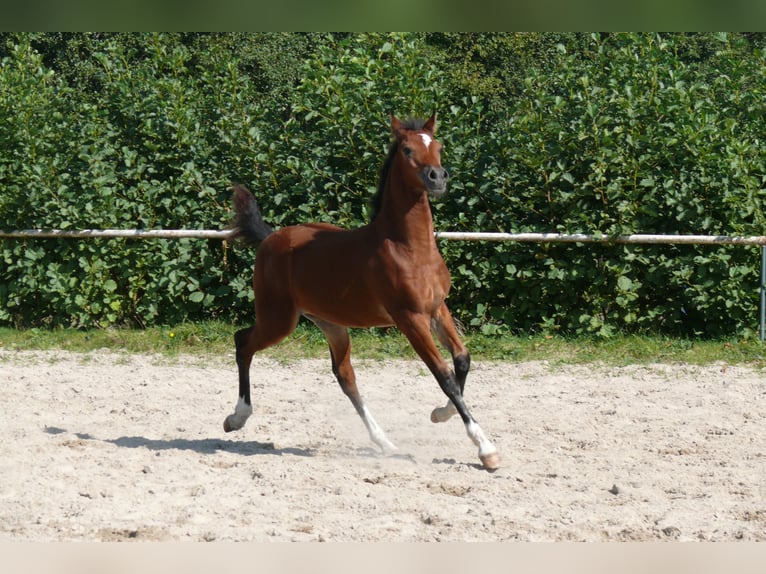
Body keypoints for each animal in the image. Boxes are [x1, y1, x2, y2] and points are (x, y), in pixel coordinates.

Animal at [225, 112, 500, 472]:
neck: (410, 248)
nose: (437, 178)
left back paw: (384, 442)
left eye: (438, 146)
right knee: (243, 342)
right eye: (408, 150)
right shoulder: (409, 318)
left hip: (330, 324)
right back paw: (236, 417)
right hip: (278, 318)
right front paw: (485, 448)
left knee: (345, 376)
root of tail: (270, 238)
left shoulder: (437, 308)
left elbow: (462, 361)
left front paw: (440, 413)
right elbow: (444, 375)